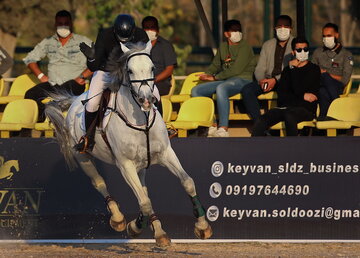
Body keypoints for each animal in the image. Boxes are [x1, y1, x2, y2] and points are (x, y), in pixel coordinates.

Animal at [46, 40, 212, 246]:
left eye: (152, 68)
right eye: (130, 71)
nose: (146, 100)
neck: (141, 120)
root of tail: (75, 100)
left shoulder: (166, 153)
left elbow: (187, 182)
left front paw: (202, 226)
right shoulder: (126, 165)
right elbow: (144, 202)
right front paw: (136, 227)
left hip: (142, 164)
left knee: (143, 190)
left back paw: (156, 230)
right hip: (82, 156)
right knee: (100, 183)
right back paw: (118, 219)